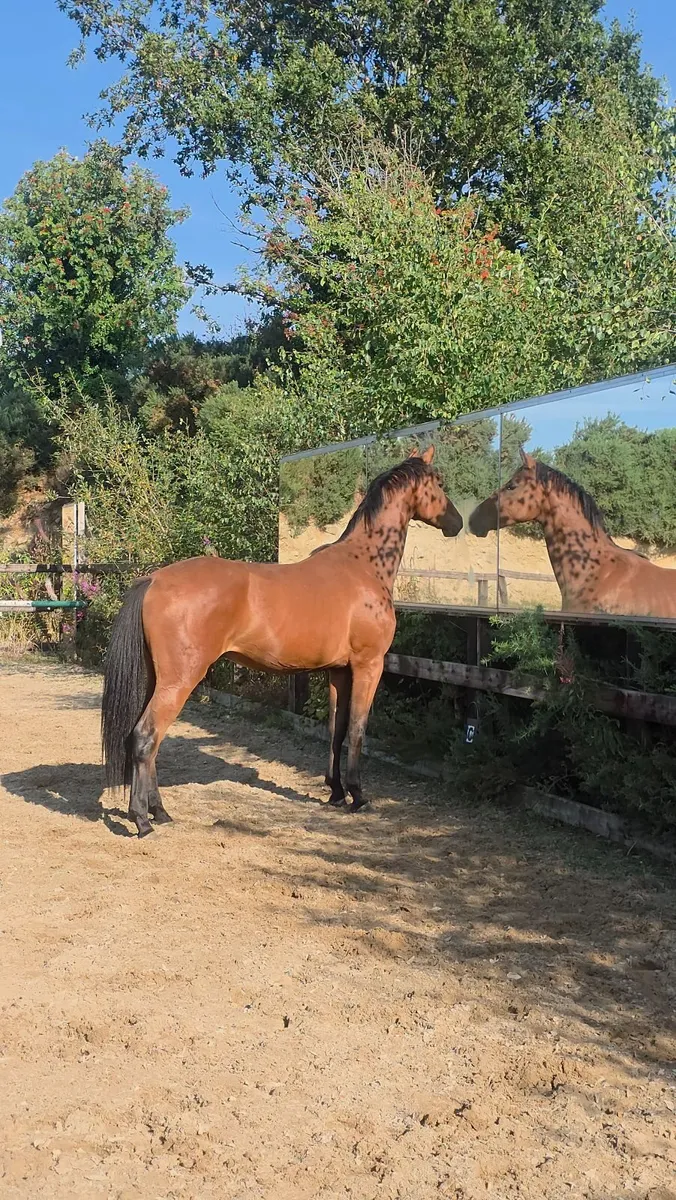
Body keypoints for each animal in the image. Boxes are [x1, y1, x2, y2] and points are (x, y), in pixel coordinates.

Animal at [102, 446, 463, 836]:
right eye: (439, 482)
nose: (456, 522)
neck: (363, 565)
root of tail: (154, 579)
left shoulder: (338, 671)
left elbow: (335, 730)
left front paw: (336, 792)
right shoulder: (369, 665)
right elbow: (357, 729)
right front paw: (357, 795)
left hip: (158, 679)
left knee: (149, 742)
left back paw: (160, 812)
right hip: (179, 681)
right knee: (145, 738)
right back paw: (142, 820)